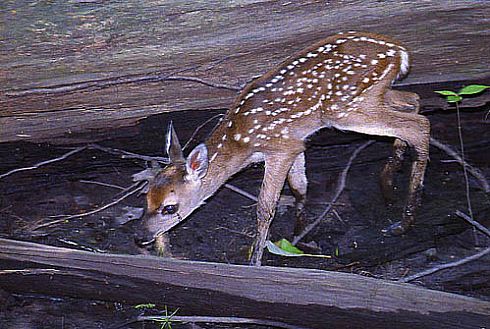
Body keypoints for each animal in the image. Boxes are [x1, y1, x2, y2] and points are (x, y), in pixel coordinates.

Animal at [137, 32, 428, 266]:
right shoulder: (296, 141)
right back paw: (389, 186)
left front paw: (255, 259)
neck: (240, 140)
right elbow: (300, 187)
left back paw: (403, 222)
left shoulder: (279, 146)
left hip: (345, 107)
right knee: (413, 100)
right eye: (146, 197)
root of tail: (400, 52)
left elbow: (265, 206)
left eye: (169, 208)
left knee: (418, 126)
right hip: (375, 95)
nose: (140, 236)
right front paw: (300, 235)